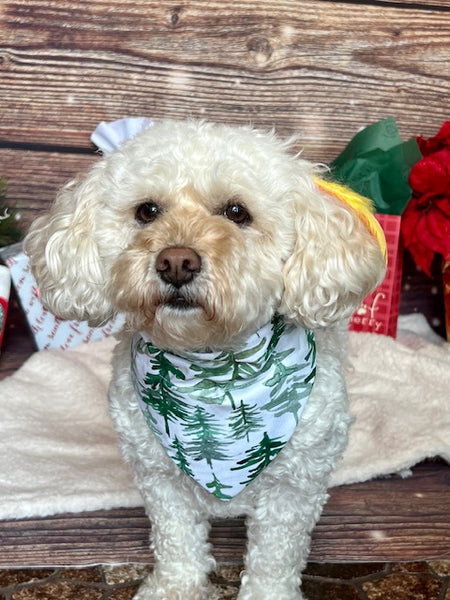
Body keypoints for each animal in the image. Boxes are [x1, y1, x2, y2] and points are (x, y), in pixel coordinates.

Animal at [24, 119, 384, 596]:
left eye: (236, 212)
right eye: (147, 211)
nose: (176, 261)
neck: (213, 366)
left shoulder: (293, 488)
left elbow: (275, 554)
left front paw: (267, 592)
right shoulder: (160, 477)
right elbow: (177, 539)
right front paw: (175, 587)